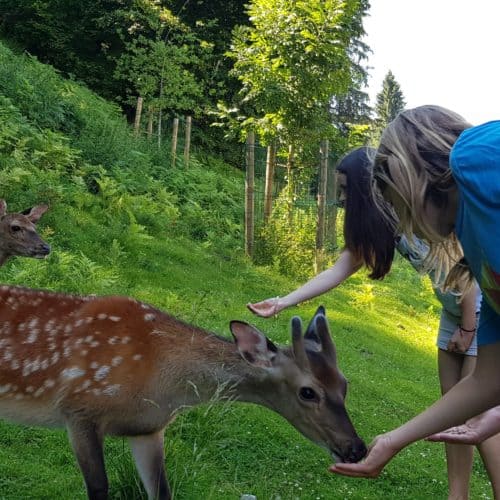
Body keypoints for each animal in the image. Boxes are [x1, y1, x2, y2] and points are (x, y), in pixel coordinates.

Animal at [0, 286, 366, 500]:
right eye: (308, 392)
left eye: (345, 384)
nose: (357, 449)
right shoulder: (79, 410)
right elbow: (99, 488)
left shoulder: (148, 428)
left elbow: (162, 492)